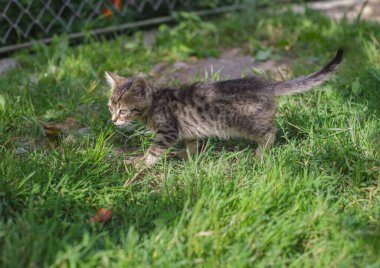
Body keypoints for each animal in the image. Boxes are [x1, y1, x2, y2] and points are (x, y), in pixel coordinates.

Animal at [107, 48, 344, 165]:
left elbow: (154, 150)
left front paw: (141, 164)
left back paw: (260, 154)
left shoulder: (168, 131)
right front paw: (187, 156)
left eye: (123, 111)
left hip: (248, 123)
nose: (113, 120)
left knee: (271, 131)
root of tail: (267, 84)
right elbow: (192, 143)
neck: (155, 103)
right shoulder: (187, 129)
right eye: (110, 108)